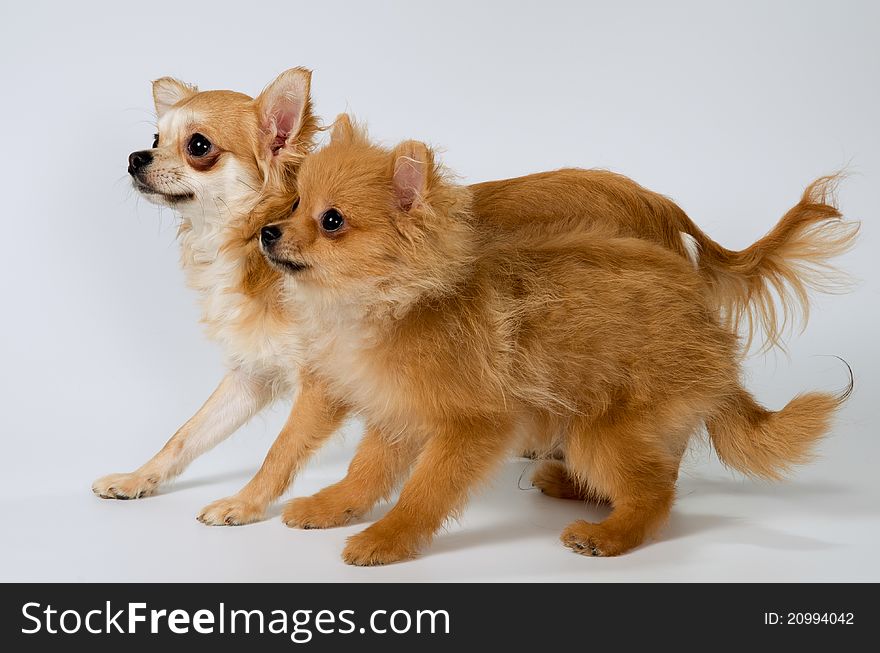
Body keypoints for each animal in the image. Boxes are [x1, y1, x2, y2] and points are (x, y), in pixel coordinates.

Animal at [258, 118, 848, 564]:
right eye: (293, 204)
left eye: (332, 220)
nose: (267, 232)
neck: (392, 304)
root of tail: (709, 326)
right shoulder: (396, 415)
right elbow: (364, 474)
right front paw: (330, 507)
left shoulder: (473, 425)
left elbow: (424, 491)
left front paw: (387, 539)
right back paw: (579, 490)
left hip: (600, 429)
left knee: (657, 489)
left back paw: (607, 533)